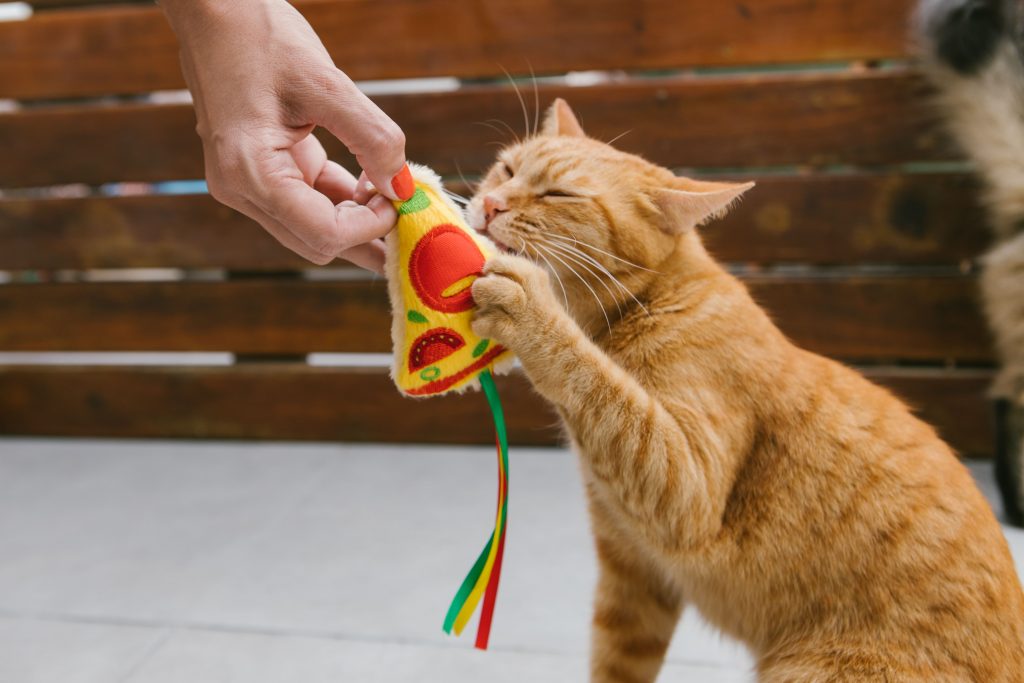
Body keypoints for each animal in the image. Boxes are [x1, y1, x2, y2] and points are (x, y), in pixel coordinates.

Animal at [468, 98, 1024, 679]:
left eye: (559, 194)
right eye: (507, 169)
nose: (489, 203)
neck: (649, 304)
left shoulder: (684, 487)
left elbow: (598, 385)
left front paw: (530, 310)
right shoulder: (633, 573)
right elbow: (615, 662)